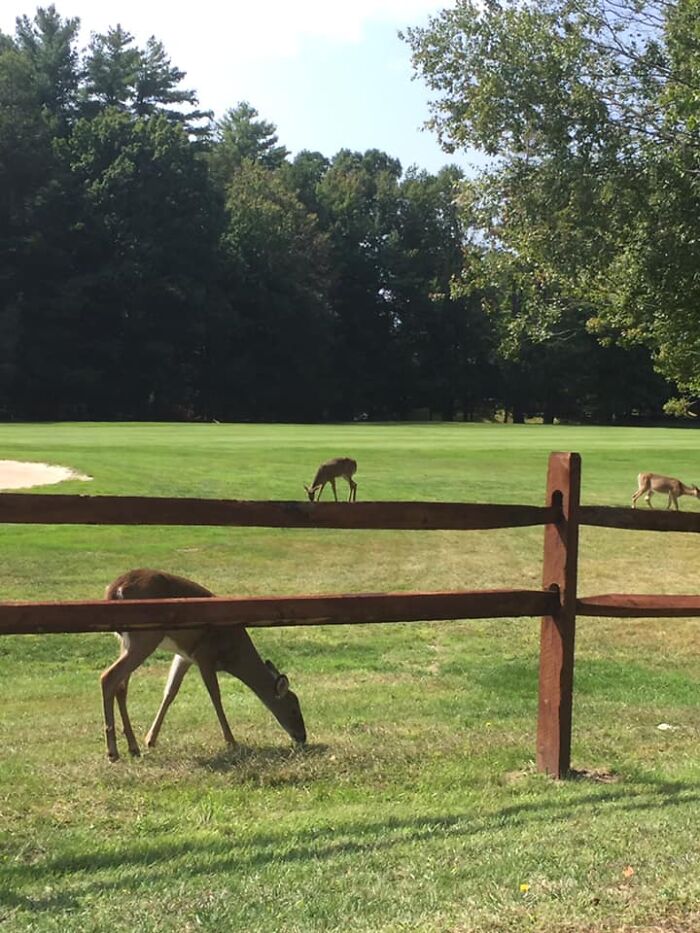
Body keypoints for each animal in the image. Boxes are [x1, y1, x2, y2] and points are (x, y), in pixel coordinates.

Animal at [100, 568, 306, 762]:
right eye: (294, 708)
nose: (303, 737)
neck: (234, 653)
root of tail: (114, 590)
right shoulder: (205, 654)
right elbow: (215, 695)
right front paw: (231, 741)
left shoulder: (185, 656)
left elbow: (170, 692)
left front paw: (150, 739)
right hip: (144, 637)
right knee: (108, 676)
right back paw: (113, 752)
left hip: (127, 642)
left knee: (121, 687)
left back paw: (133, 747)